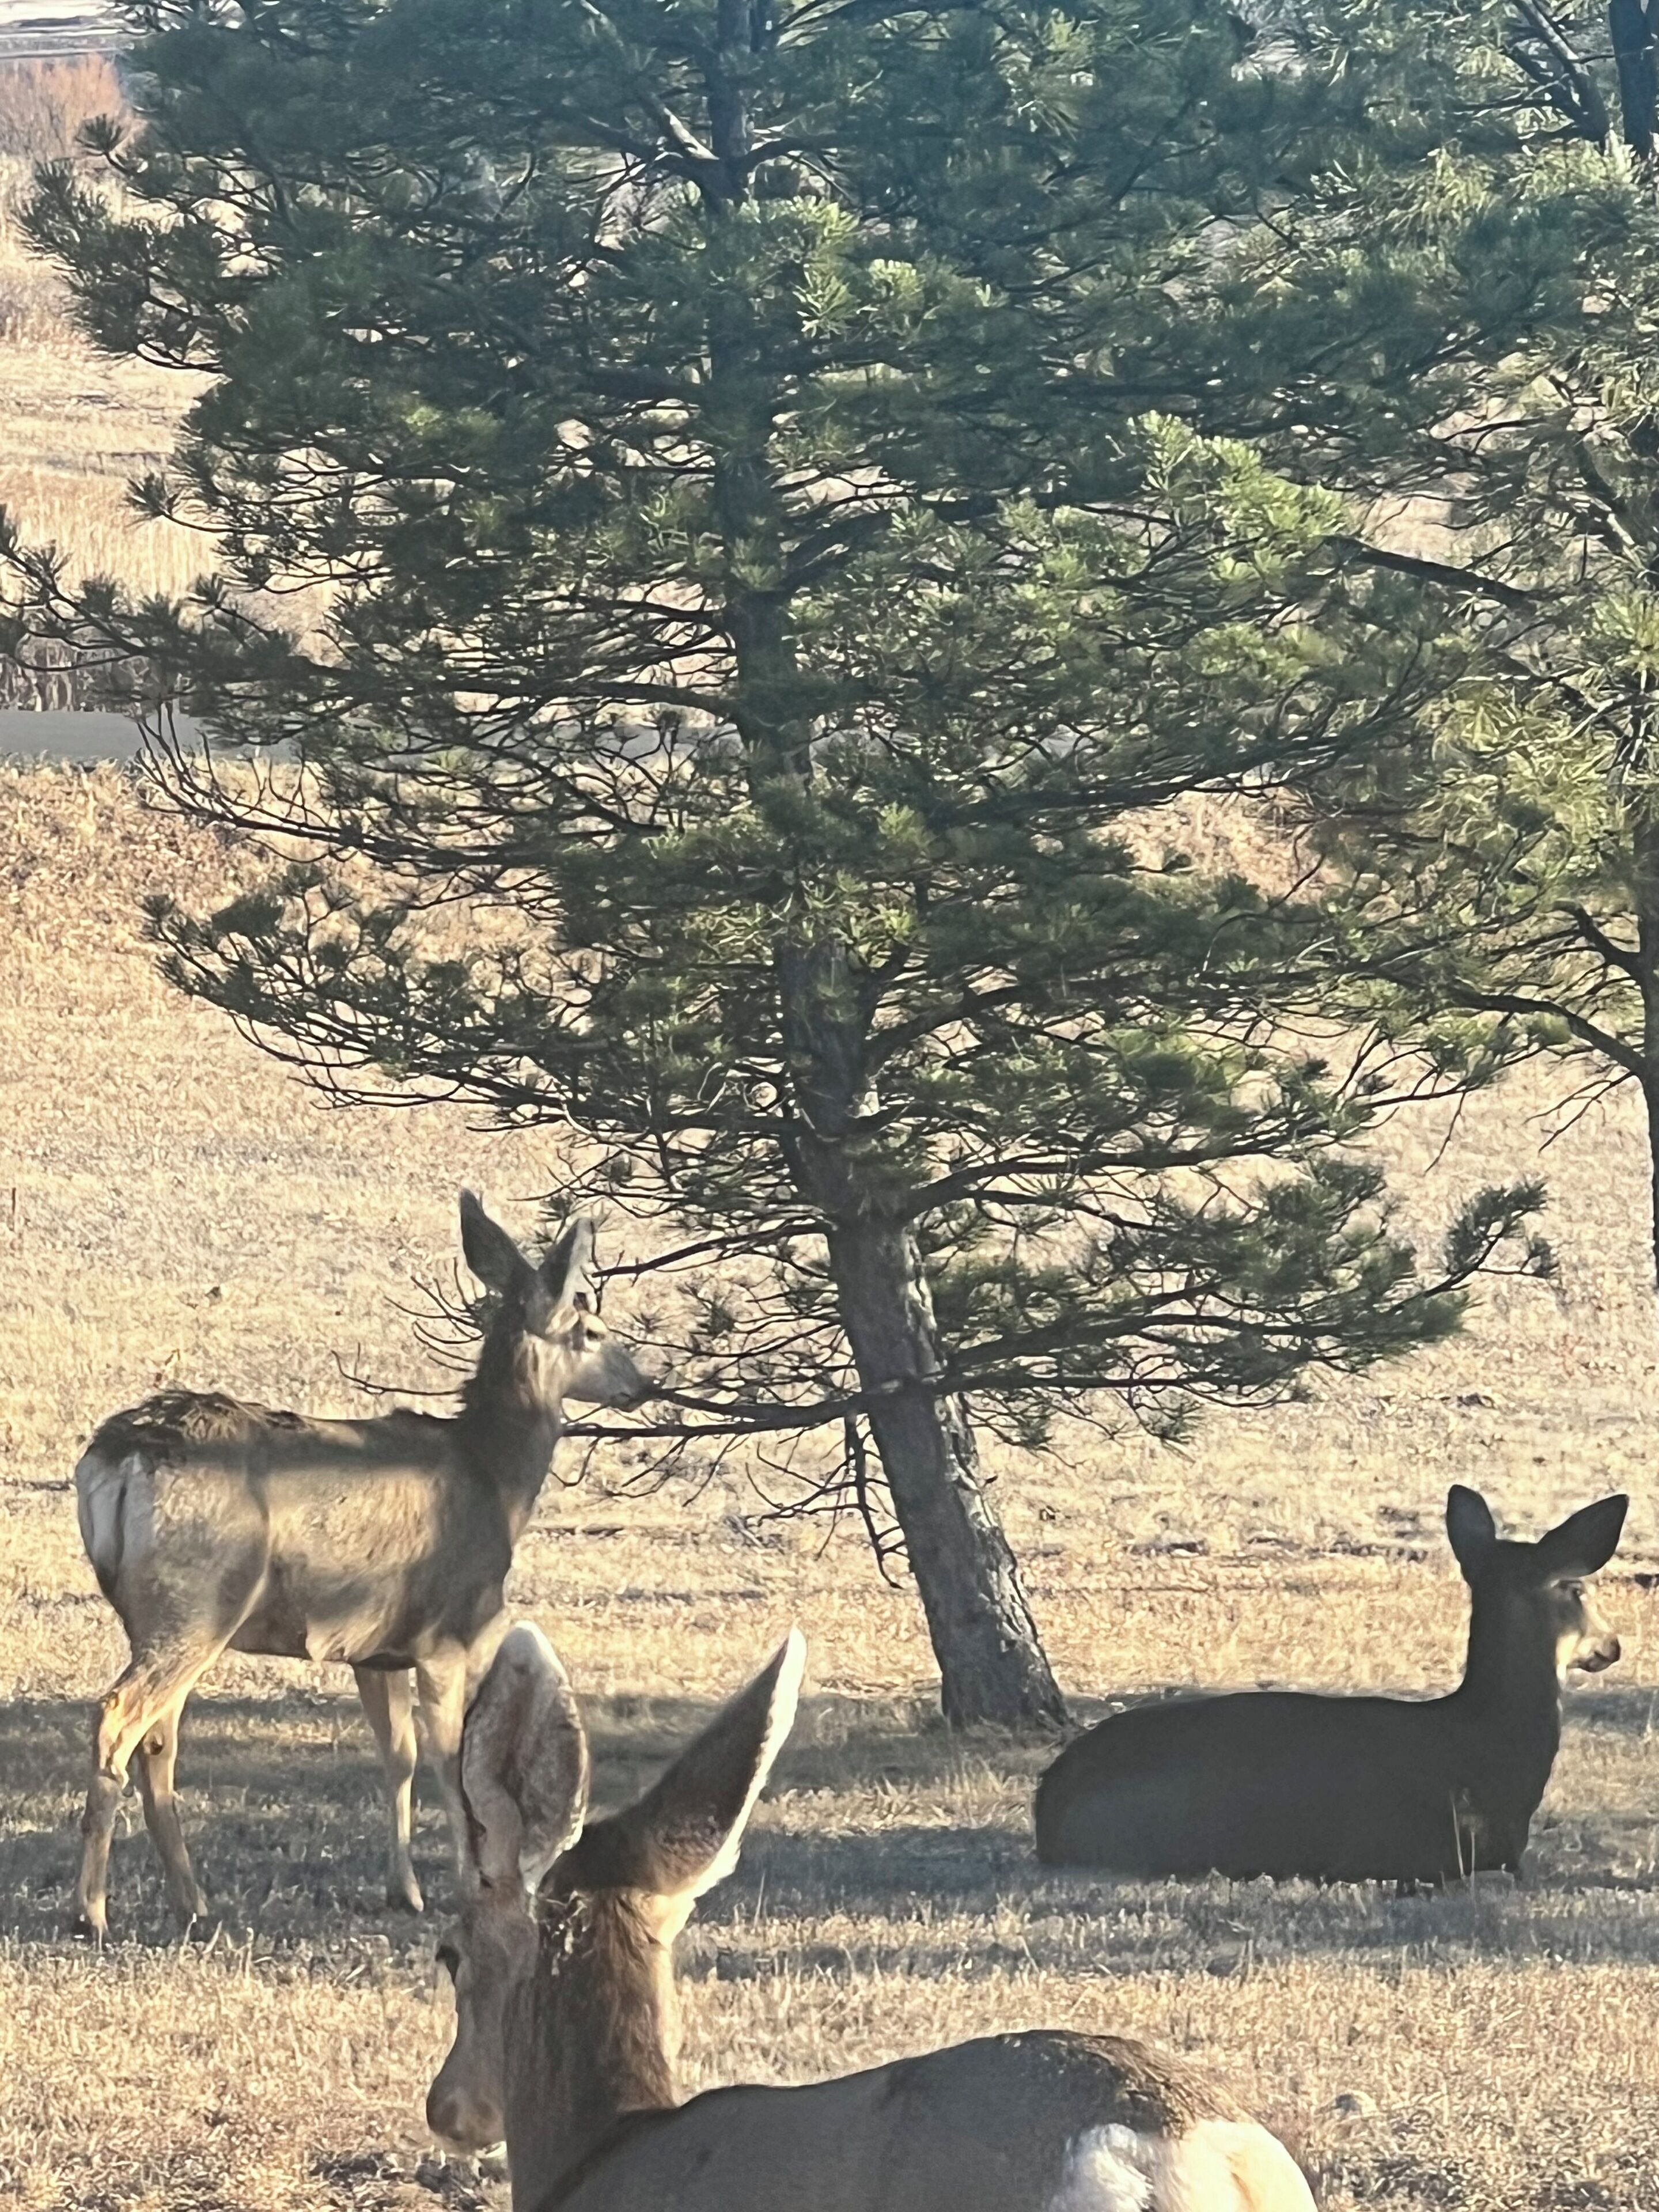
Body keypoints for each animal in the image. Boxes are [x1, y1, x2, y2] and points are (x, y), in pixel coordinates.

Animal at [72, 1194, 652, 1939]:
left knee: (158, 1738)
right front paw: (467, 1885)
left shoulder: (375, 1650)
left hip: (158, 1613)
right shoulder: (448, 1634)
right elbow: (451, 1765)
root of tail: (114, 1458)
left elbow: (397, 1758)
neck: (493, 1479)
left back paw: (191, 1901)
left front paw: (405, 1891)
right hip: (196, 1601)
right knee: (120, 1717)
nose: (643, 1383)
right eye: (592, 1330)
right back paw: (92, 1911)